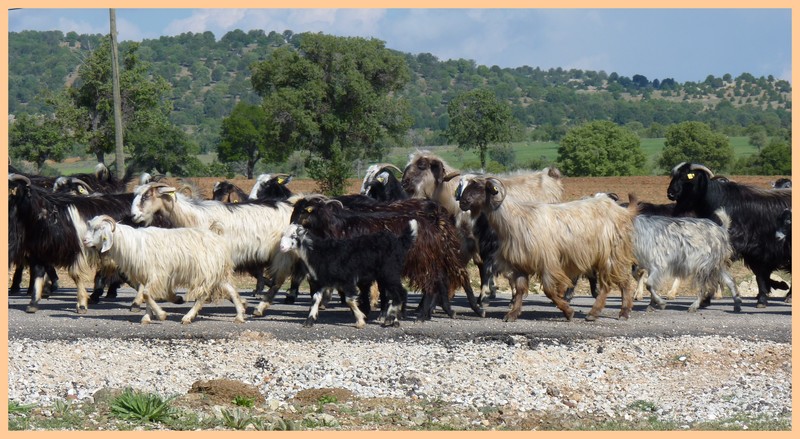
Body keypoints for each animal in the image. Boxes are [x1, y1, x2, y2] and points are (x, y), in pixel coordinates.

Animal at [280, 222, 418, 328]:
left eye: (293, 236)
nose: (281, 247)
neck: (319, 252)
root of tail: (399, 242)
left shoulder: (346, 279)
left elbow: (349, 300)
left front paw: (360, 321)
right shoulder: (321, 281)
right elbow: (315, 299)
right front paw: (309, 321)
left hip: (389, 272)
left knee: (399, 294)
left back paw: (390, 318)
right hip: (387, 275)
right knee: (401, 293)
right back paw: (395, 320)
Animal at [456, 179, 636, 324]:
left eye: (479, 188)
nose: (462, 202)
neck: (514, 218)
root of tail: (621, 210)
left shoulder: (548, 261)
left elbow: (549, 291)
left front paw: (568, 311)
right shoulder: (520, 263)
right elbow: (520, 290)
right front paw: (513, 314)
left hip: (611, 254)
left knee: (614, 283)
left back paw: (611, 312)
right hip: (608, 256)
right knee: (619, 282)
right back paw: (610, 312)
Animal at [664, 162, 792, 310]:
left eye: (687, 176)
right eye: (674, 175)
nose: (670, 193)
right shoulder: (752, 251)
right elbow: (759, 274)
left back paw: (789, 297)